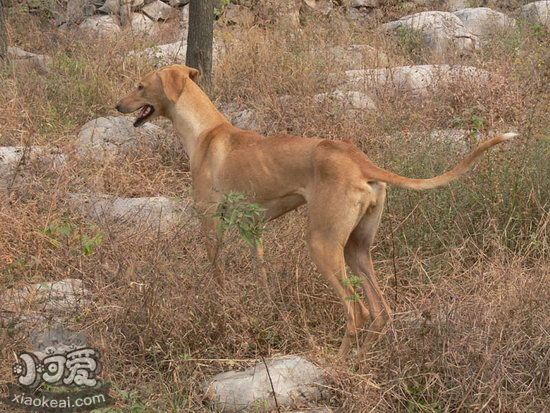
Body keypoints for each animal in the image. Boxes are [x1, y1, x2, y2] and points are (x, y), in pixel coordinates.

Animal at [116, 66, 516, 356]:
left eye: (139, 86)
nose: (117, 106)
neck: (207, 132)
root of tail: (360, 161)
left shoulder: (211, 223)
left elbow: (216, 277)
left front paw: (219, 308)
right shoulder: (253, 231)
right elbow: (262, 278)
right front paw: (266, 310)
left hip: (322, 245)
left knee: (358, 313)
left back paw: (337, 365)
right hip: (355, 250)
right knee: (381, 311)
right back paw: (362, 361)